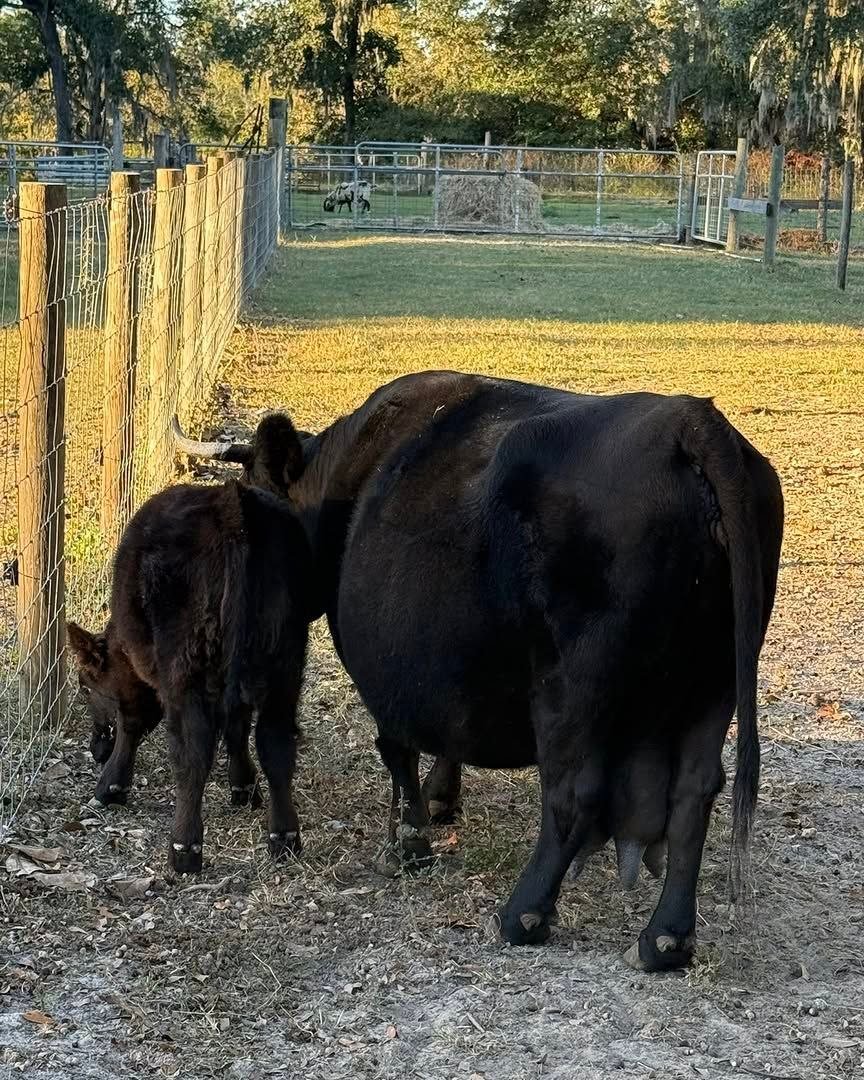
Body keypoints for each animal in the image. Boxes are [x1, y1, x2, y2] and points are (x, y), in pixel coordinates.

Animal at [67, 453, 318, 874]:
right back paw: (284, 836)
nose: (95, 747)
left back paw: (184, 848)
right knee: (276, 741)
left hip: (187, 669)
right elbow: (237, 728)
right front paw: (243, 785)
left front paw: (111, 784)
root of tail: (231, 505)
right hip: (286, 660)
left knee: (192, 752)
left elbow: (133, 720)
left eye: (86, 687)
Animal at [174, 370, 784, 969]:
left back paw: (524, 915)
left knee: (573, 794)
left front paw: (410, 842)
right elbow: (449, 733)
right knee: (693, 794)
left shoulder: (387, 673)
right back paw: (667, 939)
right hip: (714, 685)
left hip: (574, 691)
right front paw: (443, 800)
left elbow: (396, 748)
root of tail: (687, 421)